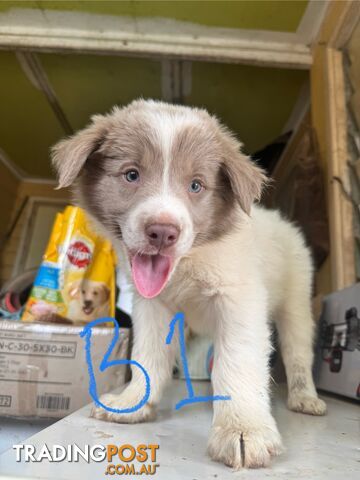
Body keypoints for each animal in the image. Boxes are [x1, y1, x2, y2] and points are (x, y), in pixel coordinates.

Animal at [52, 99, 326, 470]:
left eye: (196, 185)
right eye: (131, 175)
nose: (162, 232)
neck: (189, 263)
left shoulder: (240, 301)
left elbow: (237, 361)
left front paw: (243, 428)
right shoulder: (152, 306)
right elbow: (147, 355)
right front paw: (133, 402)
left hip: (295, 303)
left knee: (298, 353)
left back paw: (304, 397)